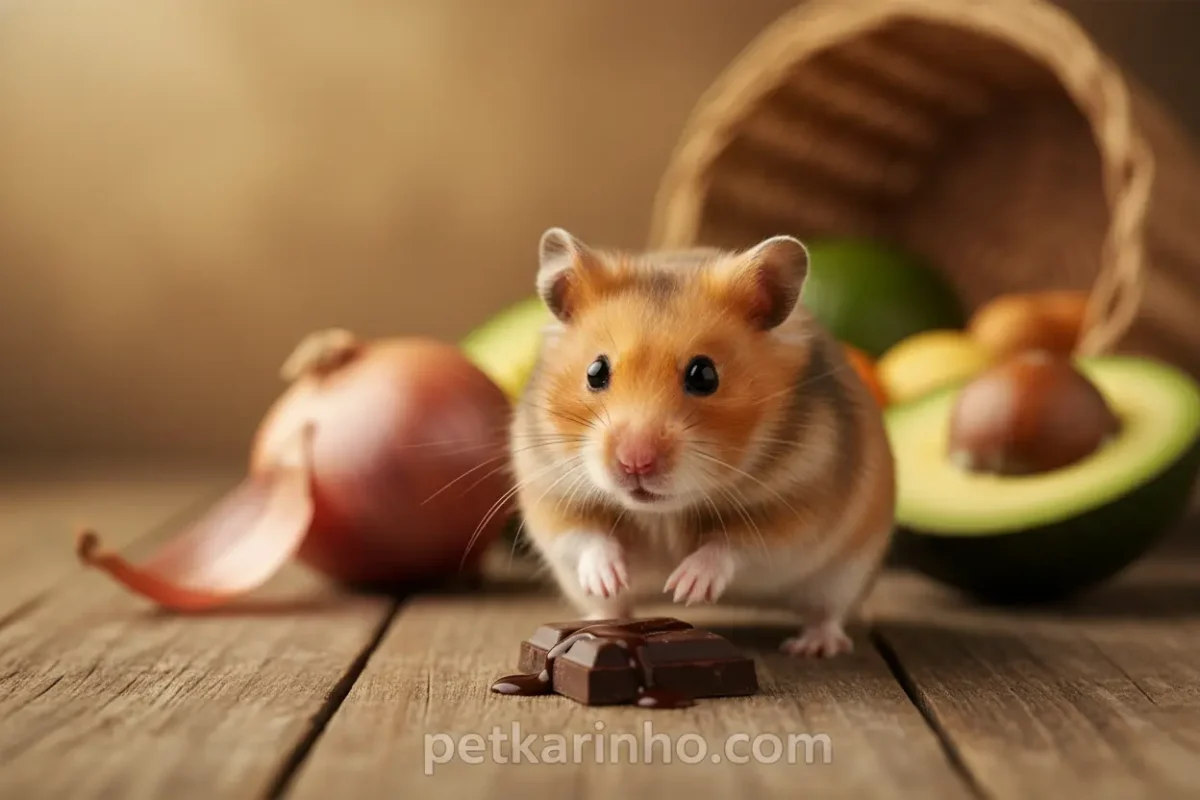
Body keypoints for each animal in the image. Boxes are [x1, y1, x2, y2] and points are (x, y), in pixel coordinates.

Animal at [508, 227, 896, 657]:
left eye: (704, 375)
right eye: (595, 372)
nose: (635, 463)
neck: (665, 513)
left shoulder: (798, 506)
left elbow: (734, 547)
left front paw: (685, 588)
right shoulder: (550, 491)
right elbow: (584, 536)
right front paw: (610, 578)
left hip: (847, 574)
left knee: (827, 612)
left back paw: (814, 646)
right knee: (611, 605)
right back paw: (597, 620)